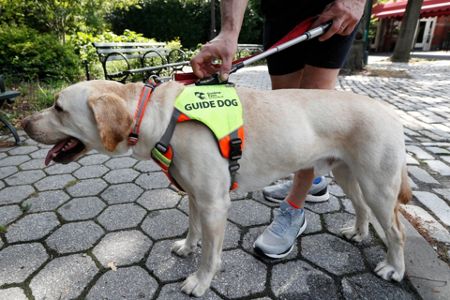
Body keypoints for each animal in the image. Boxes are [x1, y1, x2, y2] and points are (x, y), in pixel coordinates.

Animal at [22, 80, 412, 298]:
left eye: (58, 107)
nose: (23, 122)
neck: (158, 117)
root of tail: (391, 112)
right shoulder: (195, 195)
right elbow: (193, 228)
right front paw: (187, 246)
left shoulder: (214, 203)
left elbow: (211, 253)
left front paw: (200, 281)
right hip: (348, 174)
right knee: (361, 207)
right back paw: (358, 232)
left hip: (378, 184)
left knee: (395, 230)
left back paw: (393, 268)